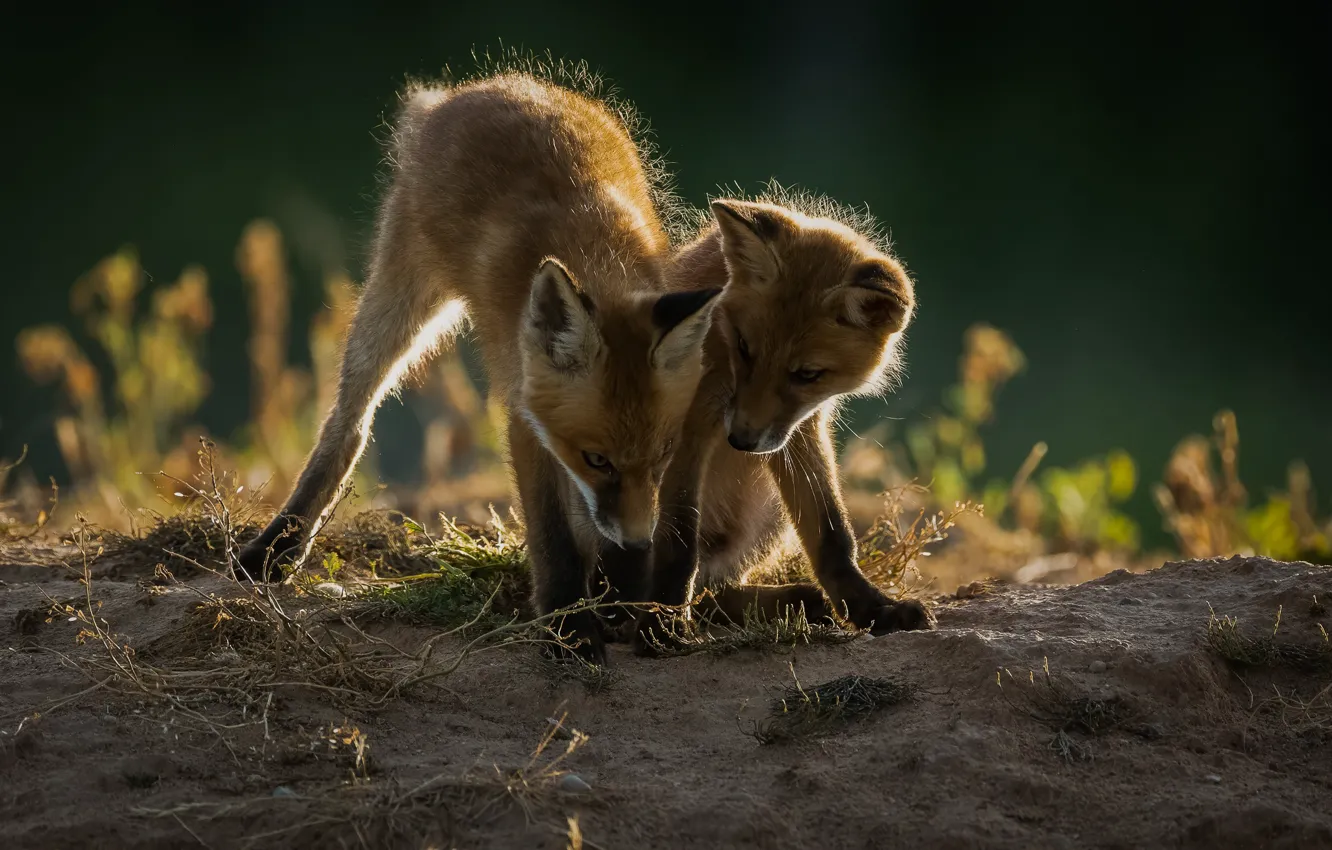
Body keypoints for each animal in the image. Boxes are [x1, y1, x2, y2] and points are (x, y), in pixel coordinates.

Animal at [235, 71, 722, 663]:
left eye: (663, 454)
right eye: (597, 459)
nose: (635, 541)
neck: (596, 260)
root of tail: (478, 87)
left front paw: (625, 598)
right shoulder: (526, 416)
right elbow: (554, 536)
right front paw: (570, 626)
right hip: (397, 302)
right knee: (349, 424)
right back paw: (278, 546)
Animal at [628, 191, 934, 654]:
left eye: (808, 375)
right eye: (744, 347)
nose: (740, 440)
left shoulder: (801, 429)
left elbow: (832, 532)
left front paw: (871, 608)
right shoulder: (686, 426)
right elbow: (678, 539)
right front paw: (662, 626)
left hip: (768, 516)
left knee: (714, 588)